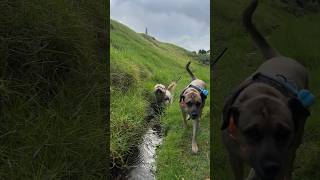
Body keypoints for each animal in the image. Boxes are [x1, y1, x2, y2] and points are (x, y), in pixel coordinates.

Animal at [221, 0, 314, 180]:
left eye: (283, 133)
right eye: (252, 133)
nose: (271, 167)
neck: (262, 92)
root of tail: (280, 56)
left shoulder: (284, 156)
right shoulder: (234, 157)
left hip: (295, 143)